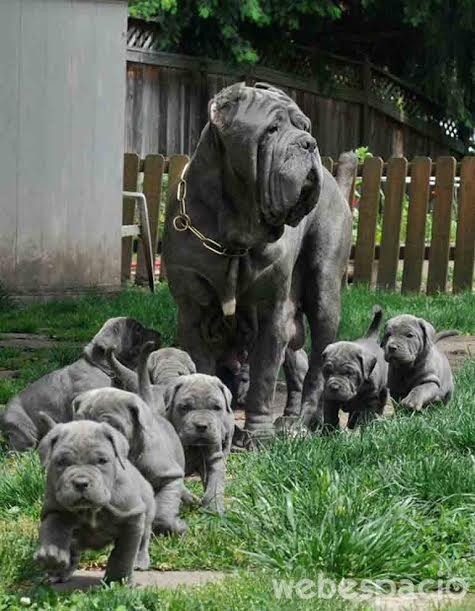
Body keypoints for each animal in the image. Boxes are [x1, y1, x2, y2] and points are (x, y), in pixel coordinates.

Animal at [35, 420, 154, 584]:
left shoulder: (131, 517)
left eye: (102, 461)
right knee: (73, 547)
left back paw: (140, 562)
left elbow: (124, 553)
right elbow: (54, 528)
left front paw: (118, 581)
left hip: (148, 504)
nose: (81, 483)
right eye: (61, 462)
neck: (90, 509)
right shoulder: (55, 508)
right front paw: (52, 555)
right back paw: (59, 573)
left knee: (144, 536)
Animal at [165, 376, 235, 512]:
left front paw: (214, 508)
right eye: (185, 407)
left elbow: (215, 482)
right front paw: (191, 499)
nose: (202, 426)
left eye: (216, 408)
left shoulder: (215, 458)